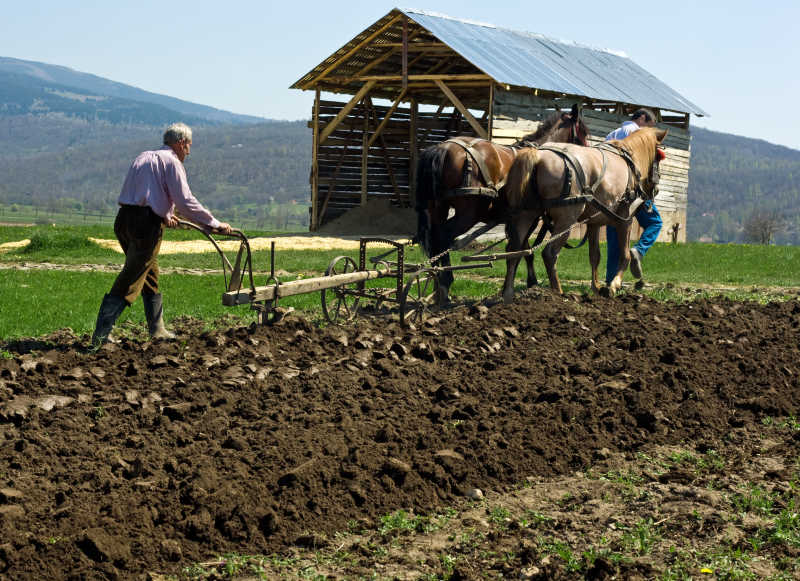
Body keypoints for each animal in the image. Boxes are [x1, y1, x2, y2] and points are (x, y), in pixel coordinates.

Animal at [412, 105, 588, 304]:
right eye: (583, 134)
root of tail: (443, 148)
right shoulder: (528, 217)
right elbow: (521, 250)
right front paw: (528, 283)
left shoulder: (517, 219)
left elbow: (519, 249)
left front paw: (522, 285)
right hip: (468, 214)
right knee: (444, 236)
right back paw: (445, 283)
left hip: (438, 208)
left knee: (435, 239)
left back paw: (436, 283)